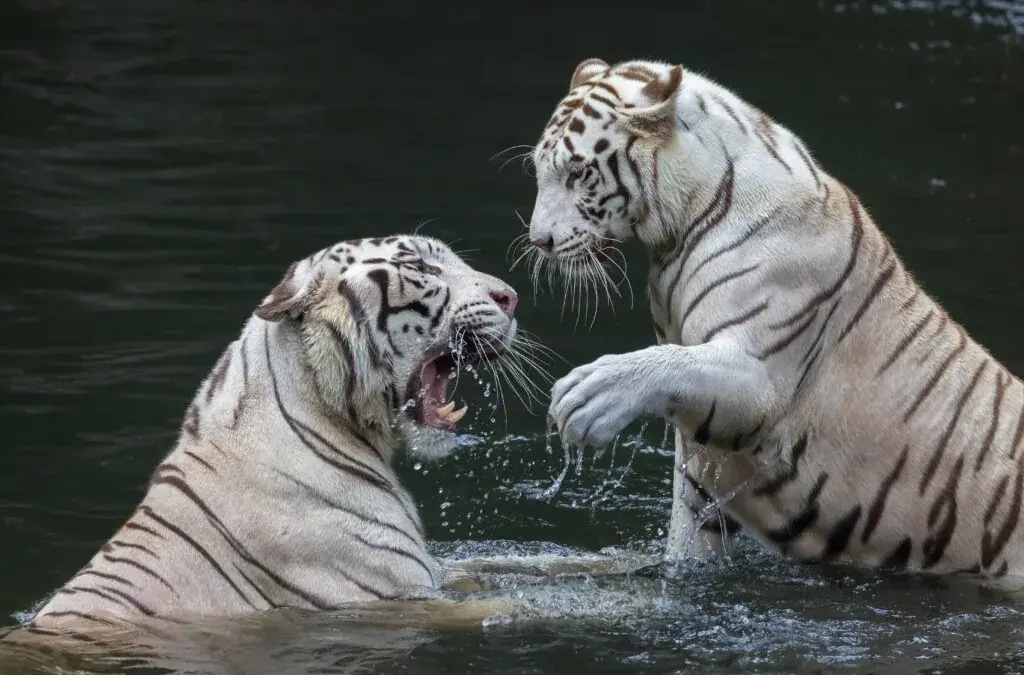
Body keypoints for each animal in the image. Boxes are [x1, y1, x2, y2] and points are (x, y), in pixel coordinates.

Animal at [524, 57, 1024, 579]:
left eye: (578, 173)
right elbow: (690, 529)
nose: (538, 241)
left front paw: (586, 398)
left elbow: (670, 364)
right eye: (540, 169)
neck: (679, 230)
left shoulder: (760, 377)